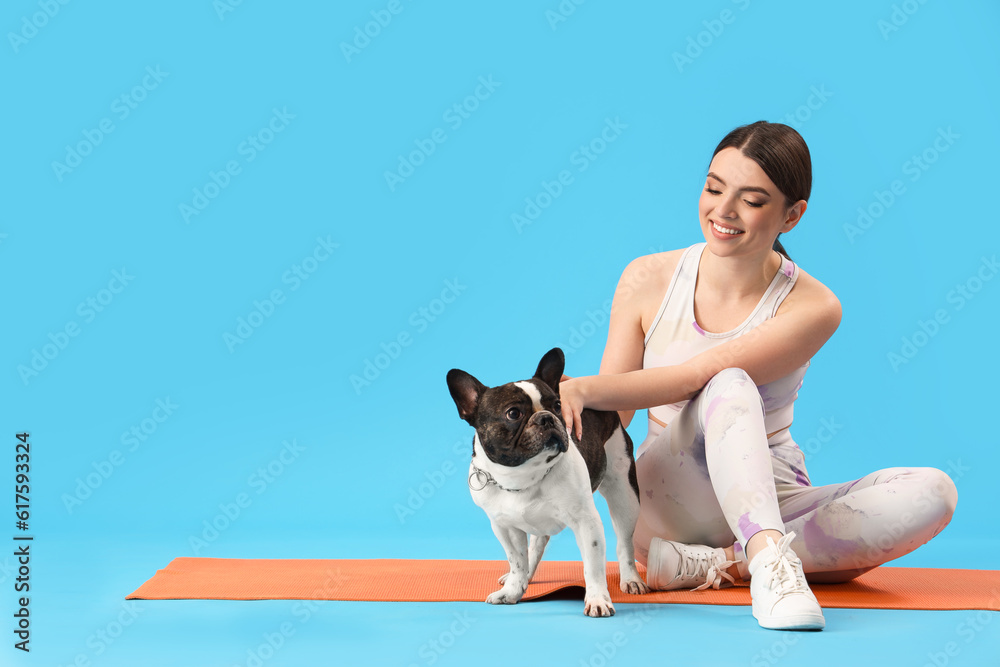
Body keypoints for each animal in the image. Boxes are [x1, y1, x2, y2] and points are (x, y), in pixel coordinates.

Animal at [446, 348, 648, 620]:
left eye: (558, 406)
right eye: (513, 413)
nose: (547, 418)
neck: (523, 475)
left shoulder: (586, 522)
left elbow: (593, 565)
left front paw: (597, 599)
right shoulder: (503, 526)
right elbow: (517, 560)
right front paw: (513, 590)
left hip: (624, 493)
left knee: (625, 542)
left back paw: (631, 579)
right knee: (534, 548)